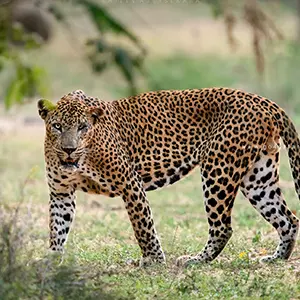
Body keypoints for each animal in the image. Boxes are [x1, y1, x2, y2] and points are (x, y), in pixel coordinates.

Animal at [38, 87, 300, 268]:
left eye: (82, 127)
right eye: (57, 126)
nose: (69, 149)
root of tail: (262, 100)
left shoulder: (130, 183)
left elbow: (143, 225)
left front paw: (153, 260)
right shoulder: (60, 192)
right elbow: (57, 227)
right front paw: (52, 259)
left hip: (218, 169)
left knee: (222, 227)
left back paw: (195, 260)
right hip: (258, 177)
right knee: (288, 219)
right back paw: (277, 258)